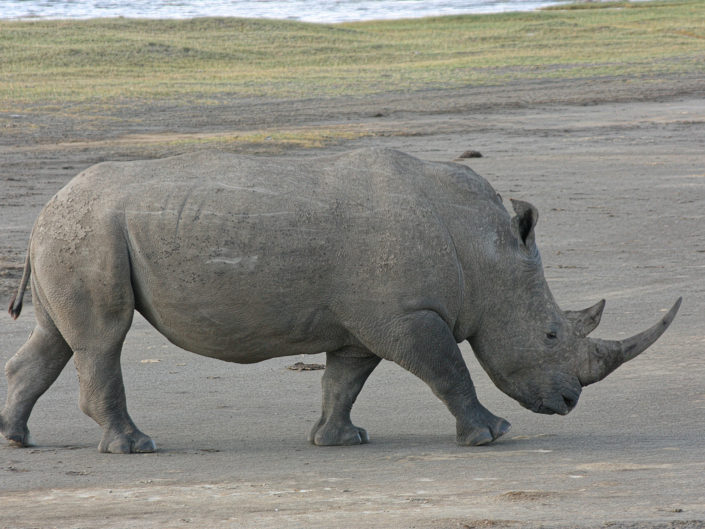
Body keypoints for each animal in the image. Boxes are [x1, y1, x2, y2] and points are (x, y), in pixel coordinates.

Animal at [1, 148, 680, 453]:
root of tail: (42, 211)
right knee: (103, 338)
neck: (482, 252)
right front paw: (491, 435)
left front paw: (339, 439)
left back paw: (18, 438)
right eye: (551, 335)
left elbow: (344, 380)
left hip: (75, 233)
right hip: (89, 233)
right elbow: (449, 371)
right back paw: (135, 447)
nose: (568, 403)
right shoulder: (408, 316)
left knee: (58, 339)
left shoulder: (365, 323)